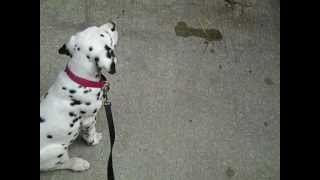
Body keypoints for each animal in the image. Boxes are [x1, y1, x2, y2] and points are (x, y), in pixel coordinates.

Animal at [40, 22, 118, 172]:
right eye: (107, 36)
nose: (112, 24)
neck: (80, 78)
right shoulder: (89, 119)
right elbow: (91, 133)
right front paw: (94, 139)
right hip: (57, 151)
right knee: (58, 165)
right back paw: (78, 163)